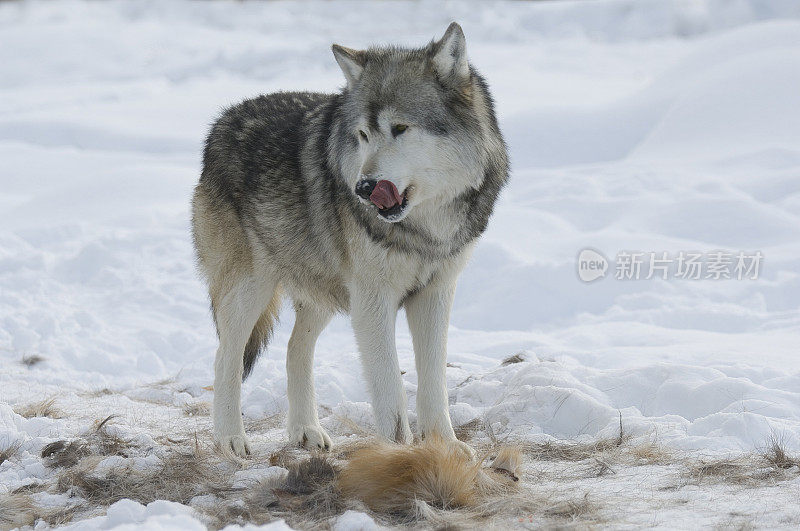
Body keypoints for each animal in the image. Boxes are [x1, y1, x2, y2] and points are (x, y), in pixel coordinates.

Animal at [191, 22, 510, 460]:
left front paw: (444, 446)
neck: (425, 228)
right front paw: (399, 453)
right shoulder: (372, 302)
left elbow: (434, 383)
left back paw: (306, 430)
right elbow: (391, 388)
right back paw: (230, 438)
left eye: (400, 128)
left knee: (294, 350)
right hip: (252, 290)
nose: (363, 187)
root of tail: (222, 120)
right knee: (227, 357)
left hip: (322, 294)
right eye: (362, 135)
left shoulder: (435, 294)